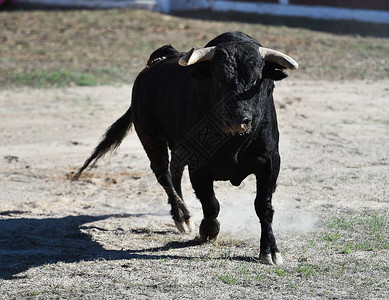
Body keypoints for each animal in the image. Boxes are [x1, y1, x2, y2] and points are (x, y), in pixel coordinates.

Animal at [73, 31, 298, 264]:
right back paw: (183, 217)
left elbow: (264, 206)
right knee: (163, 174)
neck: (233, 143)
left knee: (175, 172)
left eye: (257, 79)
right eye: (218, 79)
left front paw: (270, 250)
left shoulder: (270, 161)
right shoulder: (199, 166)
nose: (238, 119)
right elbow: (211, 203)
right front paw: (208, 230)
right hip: (151, 139)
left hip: (179, 147)